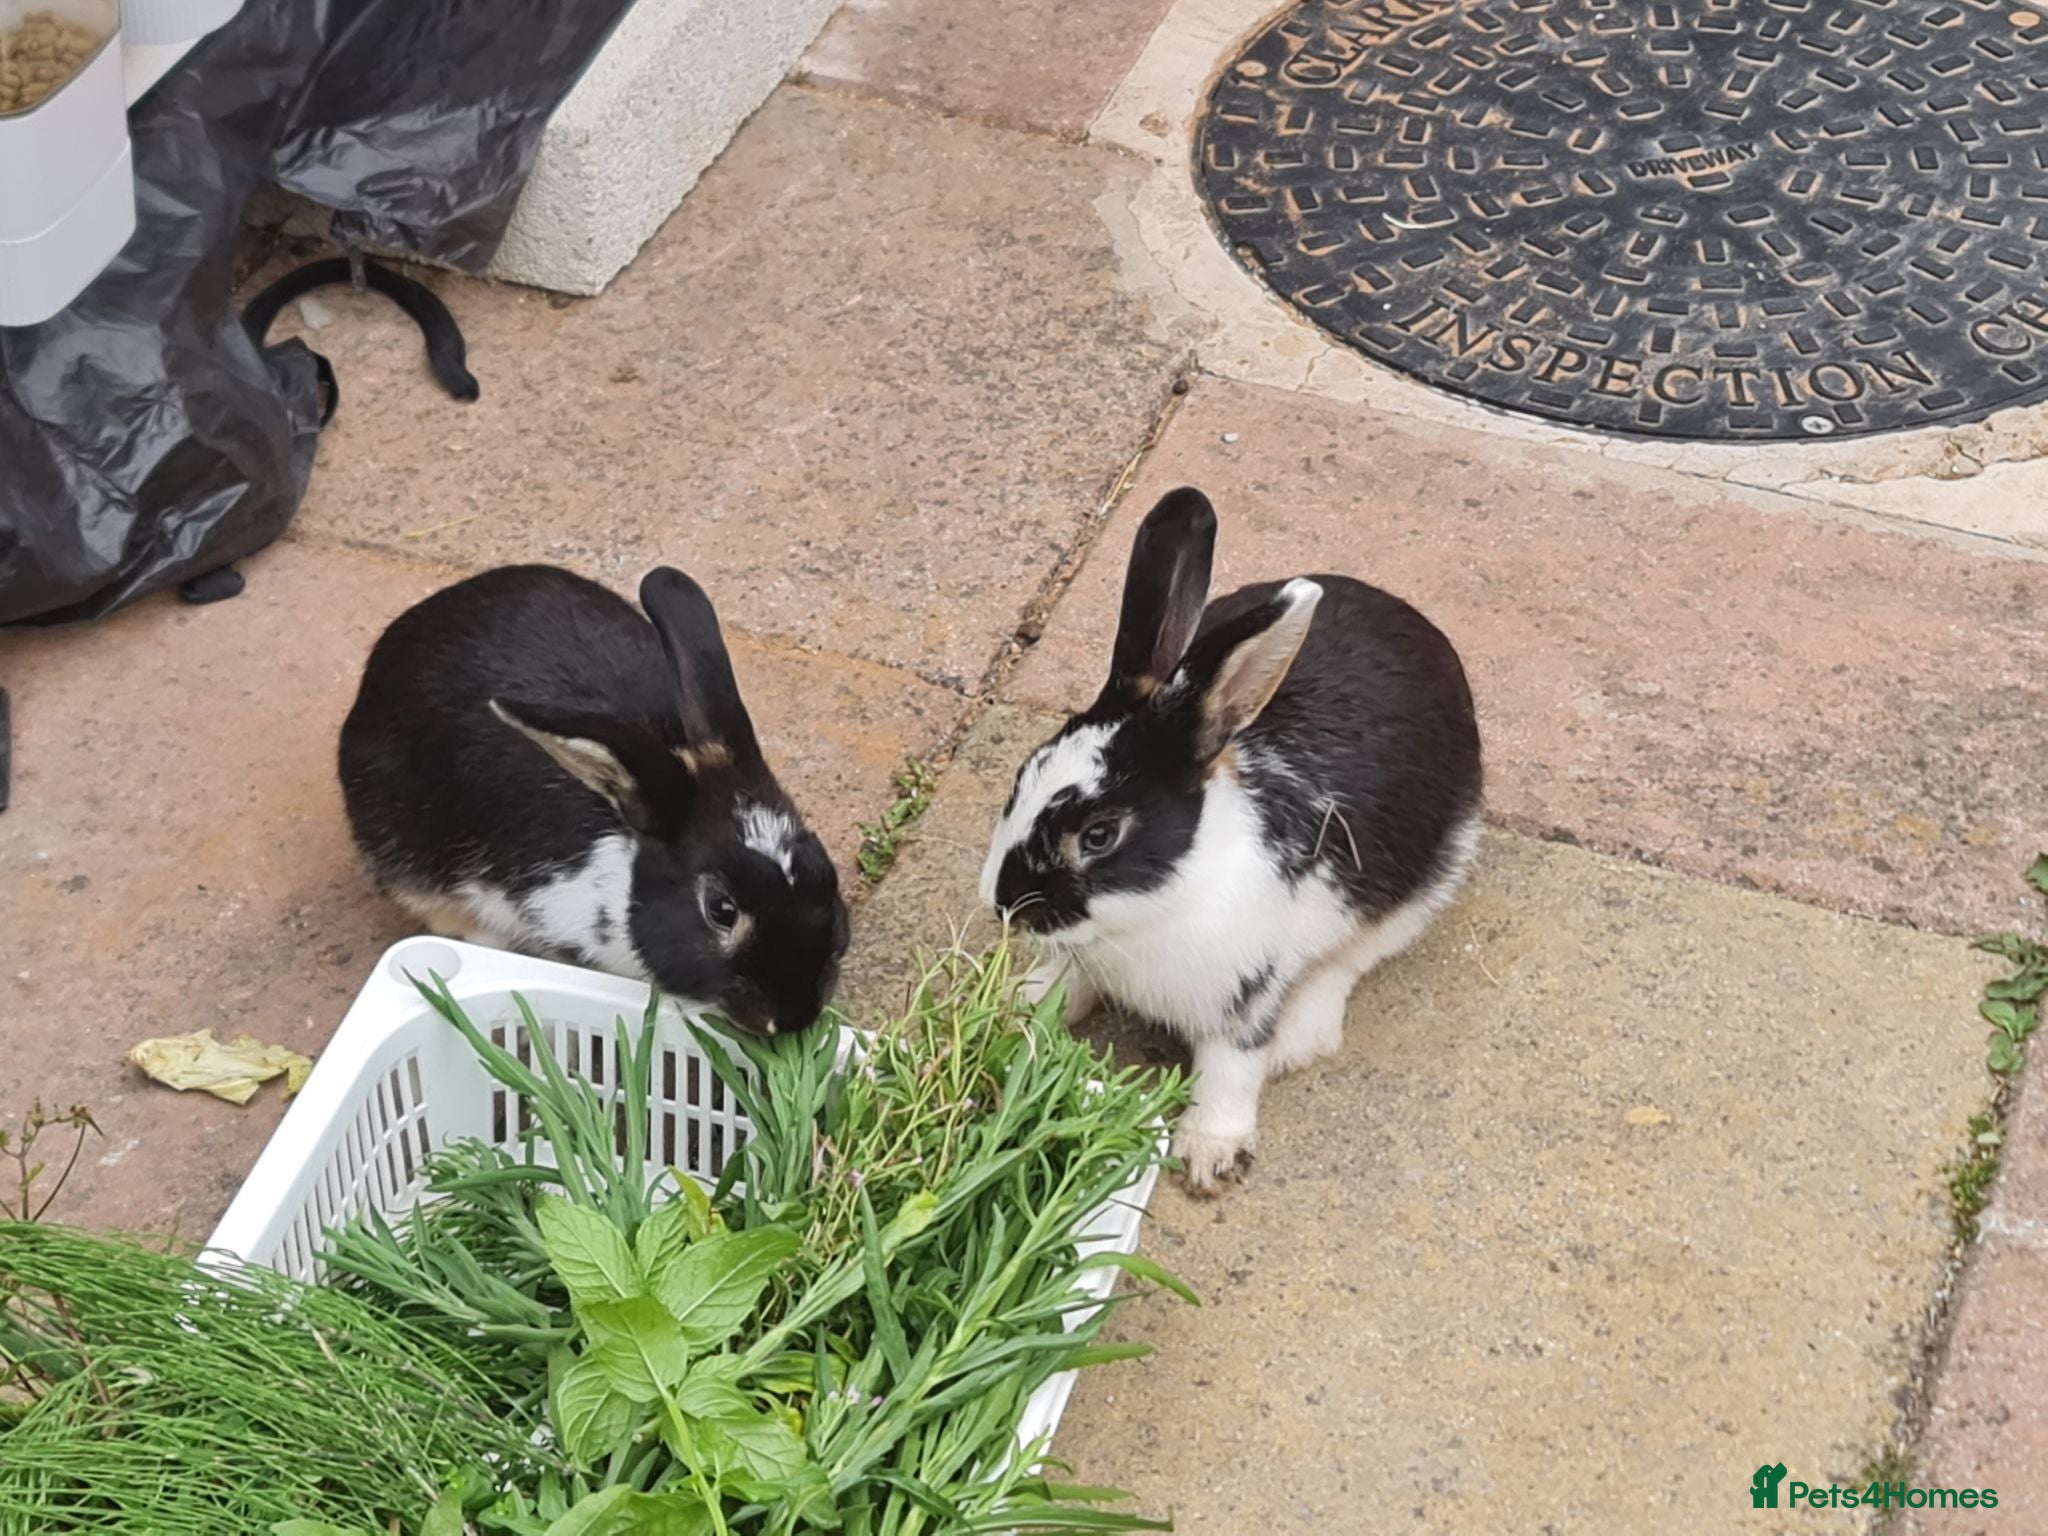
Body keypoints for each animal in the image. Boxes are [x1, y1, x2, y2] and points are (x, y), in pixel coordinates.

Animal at [980, 488, 1482, 1192]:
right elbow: (1067, 987)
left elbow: (1230, 1072)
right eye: (1023, 775)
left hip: (1428, 883)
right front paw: (1020, 1005)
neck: (1150, 913)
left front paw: (1209, 1155)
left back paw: (1300, 1037)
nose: (1003, 904)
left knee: (1352, 960)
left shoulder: (1244, 1001)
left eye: (1100, 835)